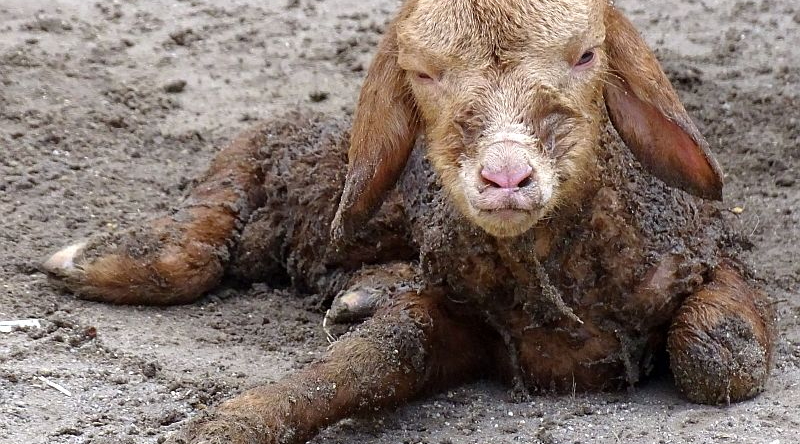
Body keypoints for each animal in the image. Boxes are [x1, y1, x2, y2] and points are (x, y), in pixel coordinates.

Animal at [39, 0, 776, 444]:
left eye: (586, 56)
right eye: (424, 73)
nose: (505, 176)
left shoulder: (718, 260)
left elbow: (721, 355)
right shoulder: (462, 316)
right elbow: (381, 355)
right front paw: (230, 424)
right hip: (333, 186)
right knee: (248, 161)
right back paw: (90, 259)